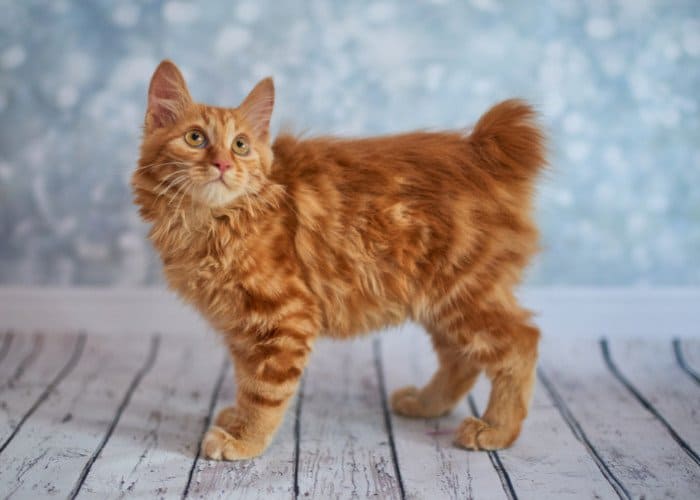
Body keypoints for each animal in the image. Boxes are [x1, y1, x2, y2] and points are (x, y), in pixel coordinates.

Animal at [131, 60, 548, 458]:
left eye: (240, 145)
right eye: (195, 138)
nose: (223, 165)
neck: (211, 222)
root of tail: (479, 149)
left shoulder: (286, 316)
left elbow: (264, 392)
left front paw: (245, 440)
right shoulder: (242, 326)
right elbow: (246, 379)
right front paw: (237, 420)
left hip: (464, 292)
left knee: (520, 344)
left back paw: (496, 429)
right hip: (439, 301)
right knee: (461, 360)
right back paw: (427, 403)